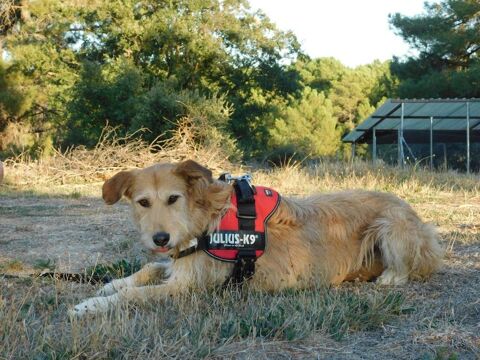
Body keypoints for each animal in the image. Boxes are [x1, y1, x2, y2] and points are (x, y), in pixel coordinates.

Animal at [70, 160, 442, 316]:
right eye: (143, 202)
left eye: (173, 199)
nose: (160, 238)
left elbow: (135, 296)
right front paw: (110, 284)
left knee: (409, 268)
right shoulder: (180, 264)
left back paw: (389, 277)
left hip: (391, 226)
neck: (204, 220)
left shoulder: (188, 287)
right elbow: (147, 270)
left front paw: (91, 305)